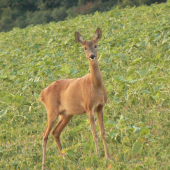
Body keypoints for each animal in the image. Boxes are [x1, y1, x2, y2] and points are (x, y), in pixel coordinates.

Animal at [40, 27, 110, 169]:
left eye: (96, 45)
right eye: (85, 48)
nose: (92, 56)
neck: (96, 86)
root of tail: (42, 94)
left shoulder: (100, 107)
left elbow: (103, 132)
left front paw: (108, 157)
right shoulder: (89, 107)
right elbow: (94, 134)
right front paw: (98, 157)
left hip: (66, 114)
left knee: (55, 132)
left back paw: (66, 159)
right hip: (52, 111)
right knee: (44, 135)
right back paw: (44, 165)